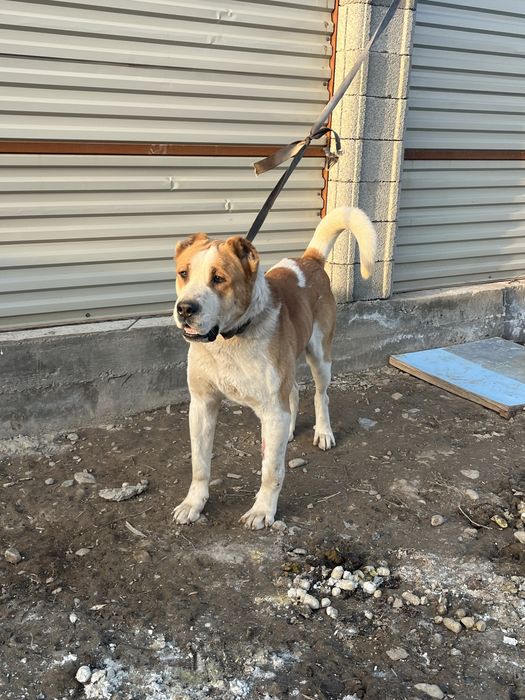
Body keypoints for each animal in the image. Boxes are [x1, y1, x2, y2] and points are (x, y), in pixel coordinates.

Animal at [172, 207, 377, 529]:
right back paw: (290, 431)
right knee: (293, 394)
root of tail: (308, 260)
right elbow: (200, 464)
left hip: (320, 356)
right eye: (184, 273)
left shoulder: (271, 408)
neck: (231, 339)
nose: (185, 309)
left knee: (320, 396)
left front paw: (263, 510)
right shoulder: (202, 405)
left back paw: (323, 432)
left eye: (218, 278)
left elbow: (271, 471)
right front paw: (194, 503)